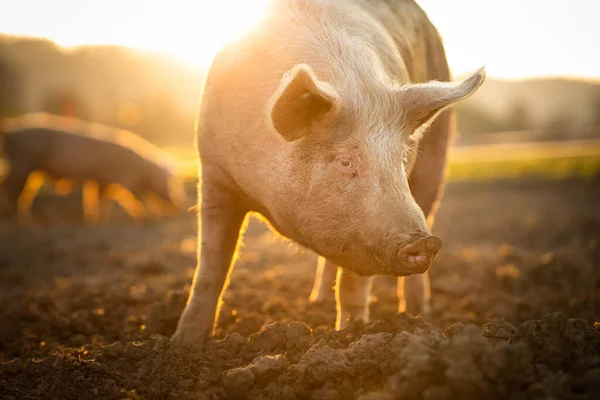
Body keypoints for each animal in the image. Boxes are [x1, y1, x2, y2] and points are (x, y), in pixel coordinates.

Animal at [0, 112, 188, 222]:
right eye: (171, 183)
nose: (180, 206)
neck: (144, 170)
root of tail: (10, 131)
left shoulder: (99, 180)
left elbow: (97, 197)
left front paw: (95, 217)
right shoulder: (124, 179)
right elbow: (133, 197)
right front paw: (147, 215)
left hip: (27, 167)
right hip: (22, 163)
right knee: (10, 186)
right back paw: (18, 217)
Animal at [171, 0, 486, 346]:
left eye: (402, 157)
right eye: (345, 162)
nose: (425, 243)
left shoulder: (363, 233)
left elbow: (354, 282)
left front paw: (351, 334)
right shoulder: (214, 173)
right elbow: (211, 265)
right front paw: (183, 343)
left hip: (436, 160)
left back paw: (418, 317)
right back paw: (316, 302)